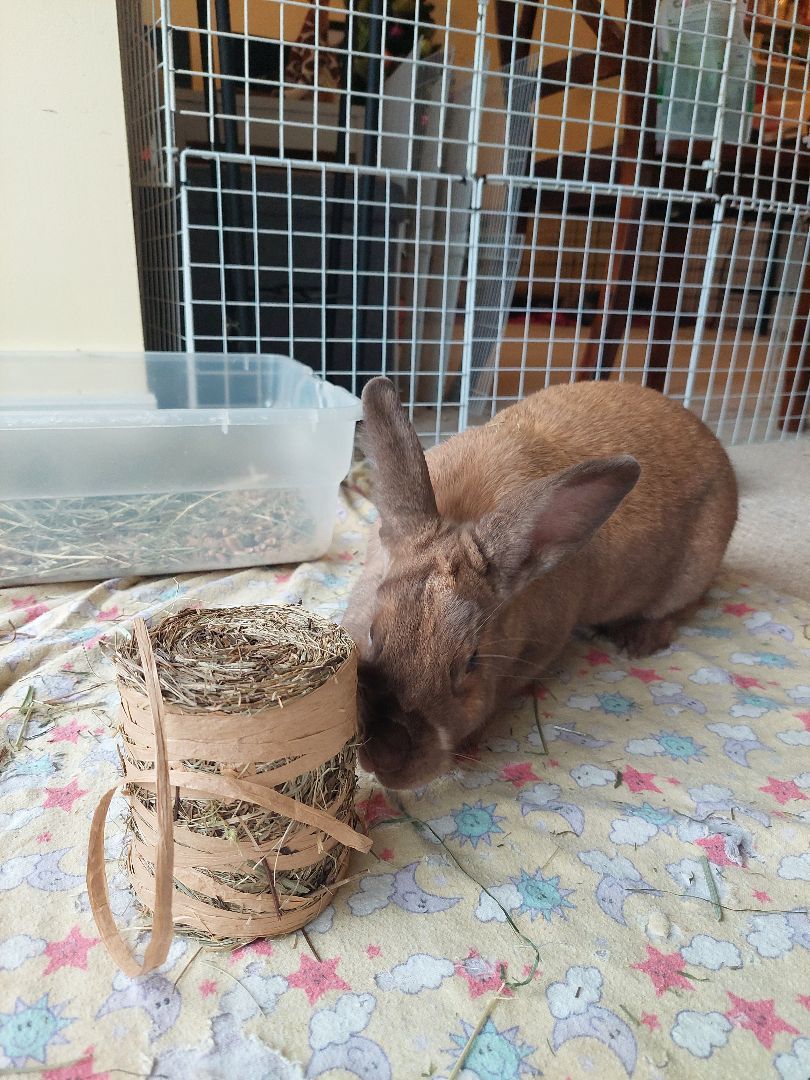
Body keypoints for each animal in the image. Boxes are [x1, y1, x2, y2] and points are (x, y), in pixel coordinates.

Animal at [343, 377, 738, 790]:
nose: (386, 754)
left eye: (472, 661)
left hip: (690, 575)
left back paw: (637, 640)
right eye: (372, 631)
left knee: (682, 607)